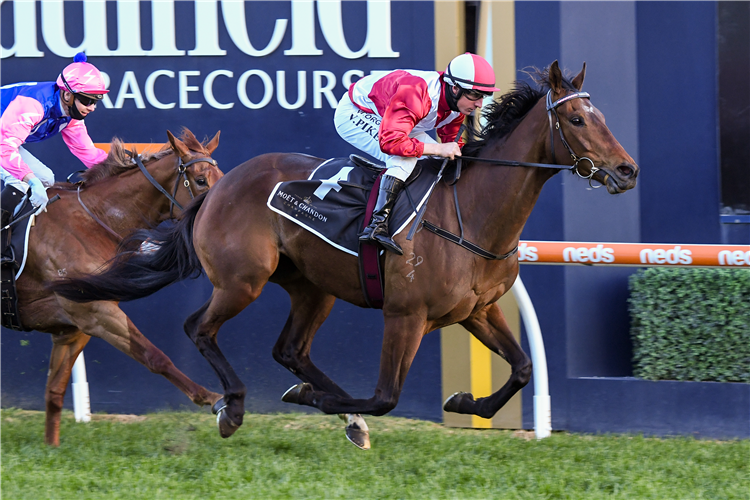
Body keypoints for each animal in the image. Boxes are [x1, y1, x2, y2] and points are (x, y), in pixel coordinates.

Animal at [8, 130, 223, 446]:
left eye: (222, 176)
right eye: (200, 180)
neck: (93, 220)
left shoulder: (73, 327)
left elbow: (55, 391)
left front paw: (51, 447)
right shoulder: (97, 313)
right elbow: (154, 356)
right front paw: (216, 401)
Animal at [51, 62, 640, 450]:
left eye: (602, 115)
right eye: (579, 121)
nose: (628, 170)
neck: (471, 213)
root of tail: (217, 186)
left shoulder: (477, 309)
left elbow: (521, 368)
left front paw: (463, 404)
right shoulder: (406, 315)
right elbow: (384, 396)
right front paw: (316, 403)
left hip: (313, 288)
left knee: (290, 349)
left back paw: (326, 407)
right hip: (242, 280)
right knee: (201, 327)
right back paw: (234, 405)